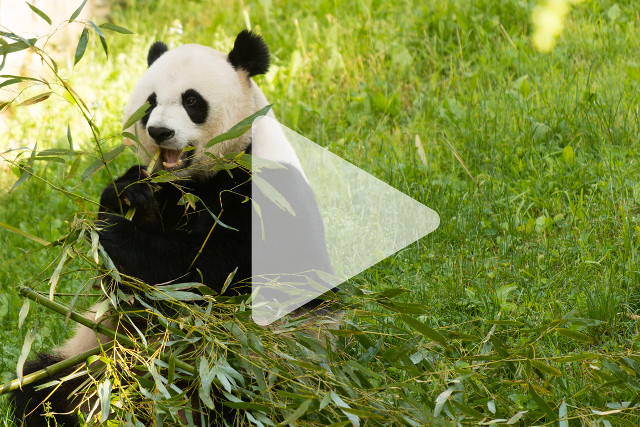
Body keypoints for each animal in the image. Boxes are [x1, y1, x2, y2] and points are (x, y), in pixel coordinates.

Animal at [10, 30, 338, 426]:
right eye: (149, 103)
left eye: (192, 101)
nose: (160, 131)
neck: (196, 180)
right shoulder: (169, 191)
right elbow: (125, 290)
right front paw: (126, 196)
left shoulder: (266, 194)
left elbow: (207, 270)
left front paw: (117, 235)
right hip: (91, 356)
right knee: (43, 388)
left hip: (260, 361)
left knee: (238, 390)